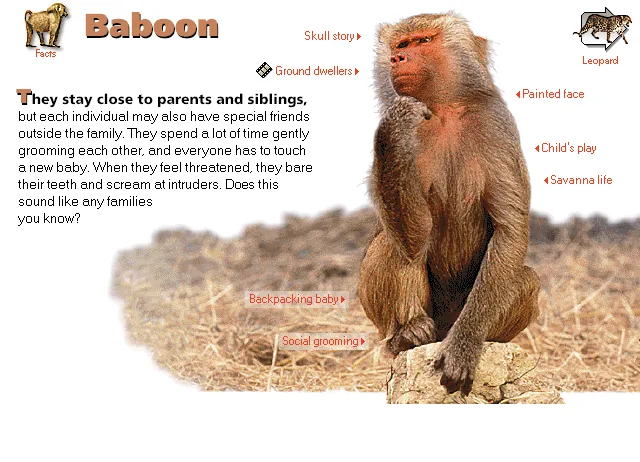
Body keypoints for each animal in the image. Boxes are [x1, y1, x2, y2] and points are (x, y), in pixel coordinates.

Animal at [358, 13, 540, 396]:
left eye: (423, 41)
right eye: (400, 44)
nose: (397, 59)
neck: (444, 110)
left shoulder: (498, 126)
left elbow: (510, 228)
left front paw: (464, 348)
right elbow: (416, 236)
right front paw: (396, 123)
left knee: (526, 278)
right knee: (394, 244)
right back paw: (408, 335)